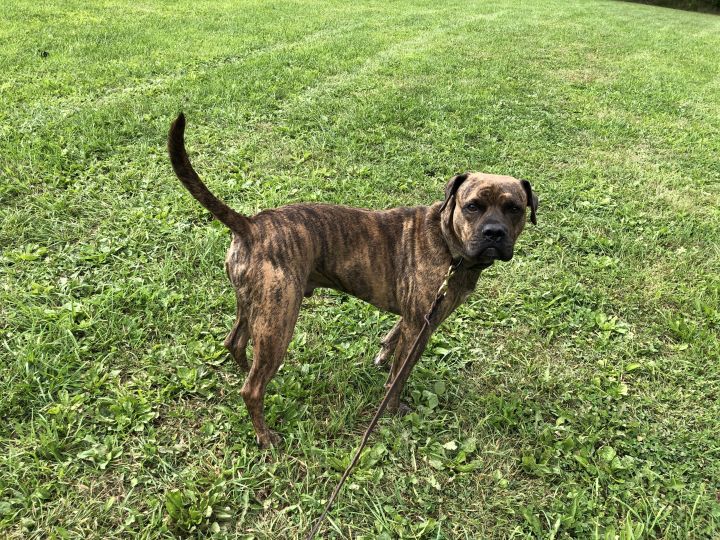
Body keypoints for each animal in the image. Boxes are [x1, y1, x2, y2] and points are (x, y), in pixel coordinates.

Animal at [169, 114, 536, 448]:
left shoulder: (415, 319)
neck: (448, 244)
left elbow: (393, 339)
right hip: (279, 319)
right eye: (472, 206)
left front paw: (383, 353)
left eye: (514, 208)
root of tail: (250, 224)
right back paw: (264, 435)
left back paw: (249, 371)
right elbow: (399, 376)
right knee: (252, 388)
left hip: (254, 306)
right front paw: (392, 407)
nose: (494, 233)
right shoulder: (422, 325)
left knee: (236, 344)